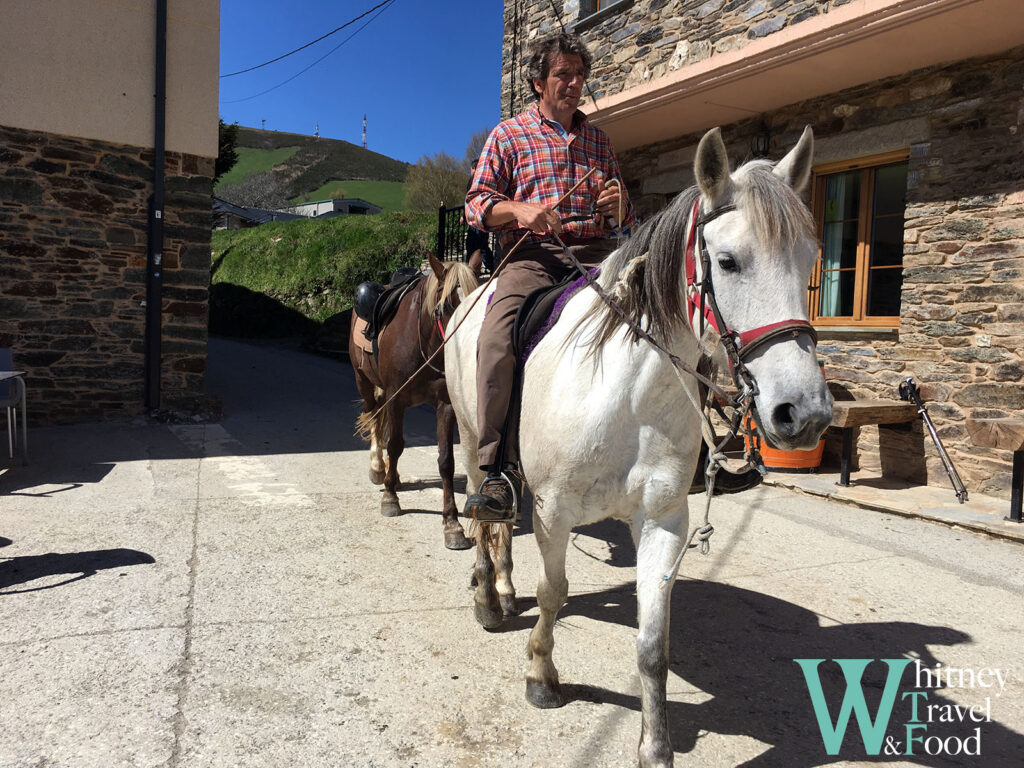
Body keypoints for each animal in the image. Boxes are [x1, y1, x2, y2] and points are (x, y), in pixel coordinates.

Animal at [350, 256, 481, 548]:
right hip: (364, 381)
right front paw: (390, 498)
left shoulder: (445, 405)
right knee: (374, 417)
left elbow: (446, 460)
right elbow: (395, 446)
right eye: (446, 306)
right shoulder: (395, 397)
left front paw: (452, 523)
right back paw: (378, 468)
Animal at [446, 123, 831, 765]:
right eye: (728, 261)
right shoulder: (553, 512)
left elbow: (653, 645)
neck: (627, 393)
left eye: (810, 261)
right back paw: (488, 600)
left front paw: (656, 745)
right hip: (475, 441)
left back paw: (501, 587)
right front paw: (542, 677)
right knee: (485, 517)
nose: (804, 413)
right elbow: (554, 592)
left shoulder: (662, 521)